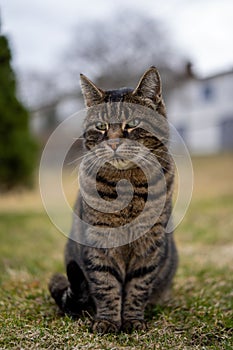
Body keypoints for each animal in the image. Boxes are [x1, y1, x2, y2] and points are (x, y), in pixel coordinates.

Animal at [48, 66, 177, 334]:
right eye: (101, 126)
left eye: (133, 124)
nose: (114, 142)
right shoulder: (100, 240)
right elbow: (106, 284)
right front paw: (107, 321)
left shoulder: (150, 242)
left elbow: (138, 286)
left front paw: (133, 320)